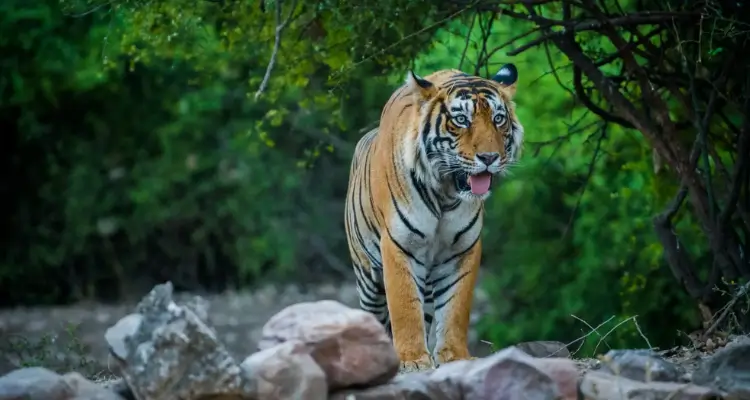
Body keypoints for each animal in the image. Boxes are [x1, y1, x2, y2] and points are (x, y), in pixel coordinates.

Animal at [343, 64, 523, 372]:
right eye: (461, 120)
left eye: (498, 119)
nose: (489, 157)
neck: (446, 195)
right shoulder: (399, 245)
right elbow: (404, 306)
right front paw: (413, 360)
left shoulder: (462, 250)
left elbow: (455, 308)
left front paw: (455, 356)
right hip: (367, 277)